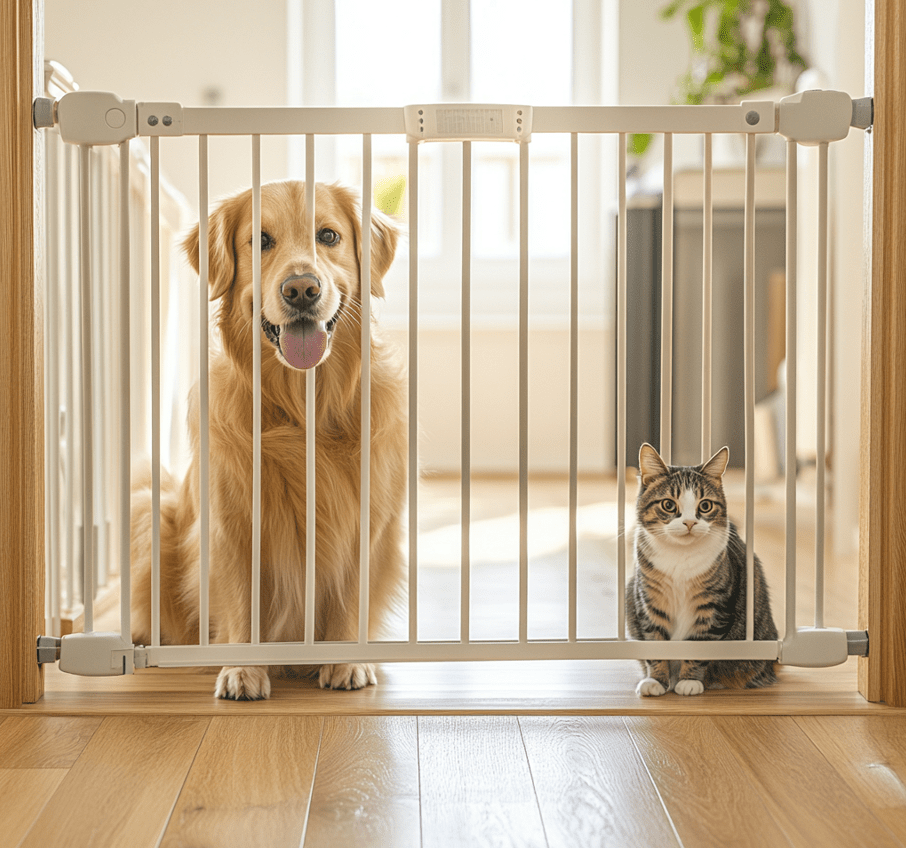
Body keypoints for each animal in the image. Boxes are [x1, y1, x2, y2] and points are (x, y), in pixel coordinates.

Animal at [129, 182, 404, 700]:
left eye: (328, 235)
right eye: (260, 240)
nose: (301, 289)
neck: (300, 408)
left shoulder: (367, 516)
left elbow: (352, 593)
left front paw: (346, 661)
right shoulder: (231, 522)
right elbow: (241, 599)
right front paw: (244, 668)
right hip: (152, 511)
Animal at [624, 444, 772, 696]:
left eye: (705, 505)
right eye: (668, 504)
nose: (690, 522)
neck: (680, 557)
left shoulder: (713, 605)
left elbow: (700, 644)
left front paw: (690, 681)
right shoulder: (650, 600)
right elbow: (655, 640)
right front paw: (657, 680)